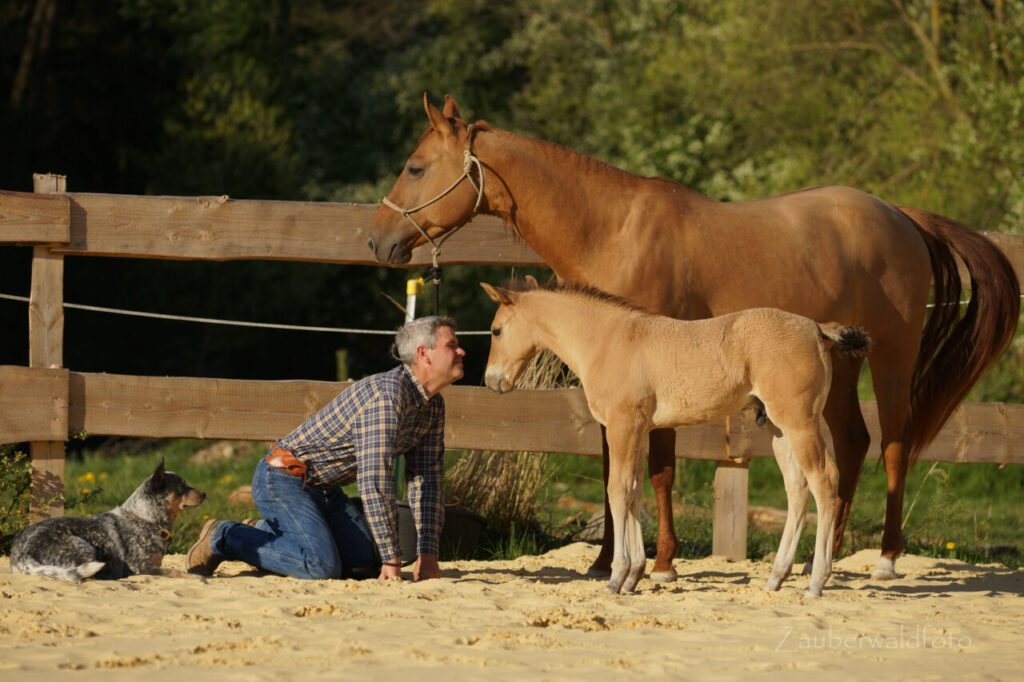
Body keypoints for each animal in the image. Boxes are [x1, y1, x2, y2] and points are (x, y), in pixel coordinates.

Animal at [9, 456, 204, 577]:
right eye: (182, 486)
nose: (204, 493)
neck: (145, 519)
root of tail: (22, 554)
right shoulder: (142, 568)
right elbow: (175, 572)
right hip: (85, 548)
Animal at [481, 276, 872, 593]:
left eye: (496, 330)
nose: (491, 381)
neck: (607, 340)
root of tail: (818, 329)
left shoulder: (622, 427)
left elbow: (617, 492)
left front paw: (616, 577)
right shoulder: (638, 430)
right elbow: (633, 492)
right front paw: (634, 575)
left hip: (799, 422)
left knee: (825, 480)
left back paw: (817, 581)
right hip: (779, 429)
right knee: (798, 489)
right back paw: (776, 578)